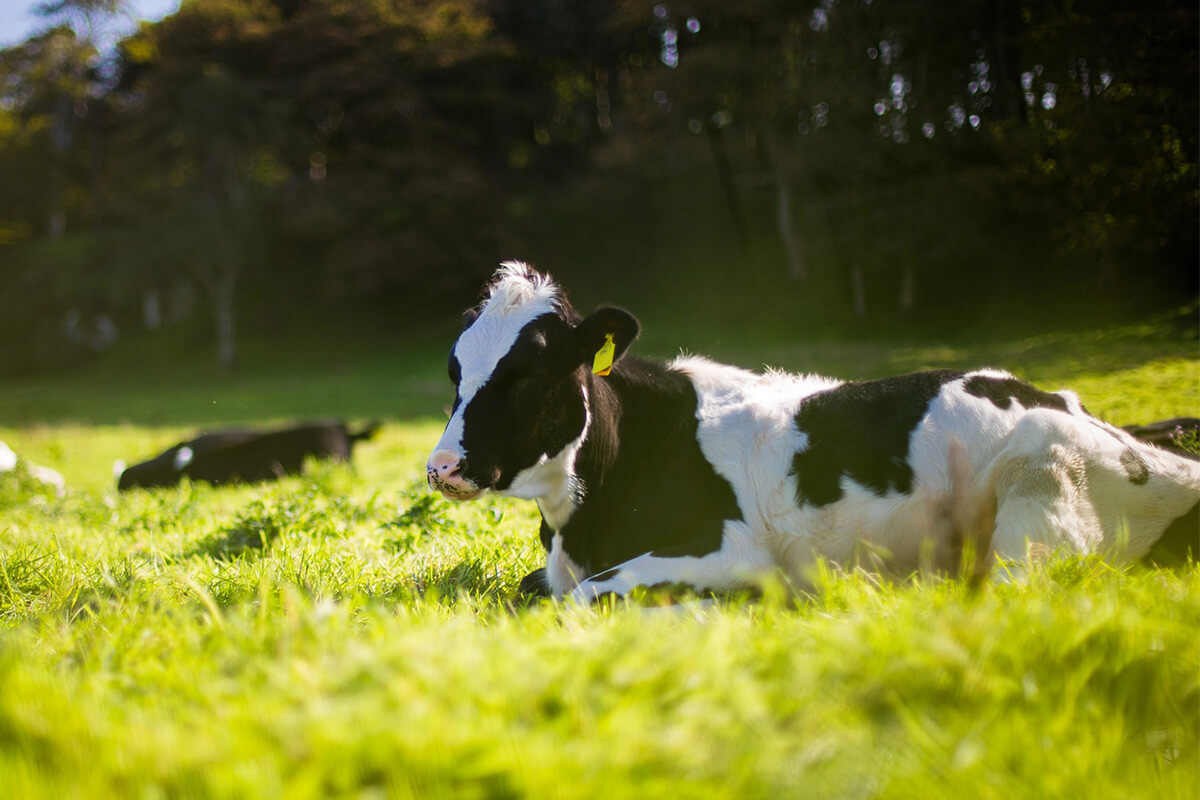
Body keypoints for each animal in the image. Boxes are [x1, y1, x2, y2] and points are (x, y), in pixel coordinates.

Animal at [429, 266, 1200, 604]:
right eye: (455, 368)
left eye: (527, 372)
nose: (442, 467)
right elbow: (538, 589)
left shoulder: (729, 547)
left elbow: (587, 596)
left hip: (1037, 503)